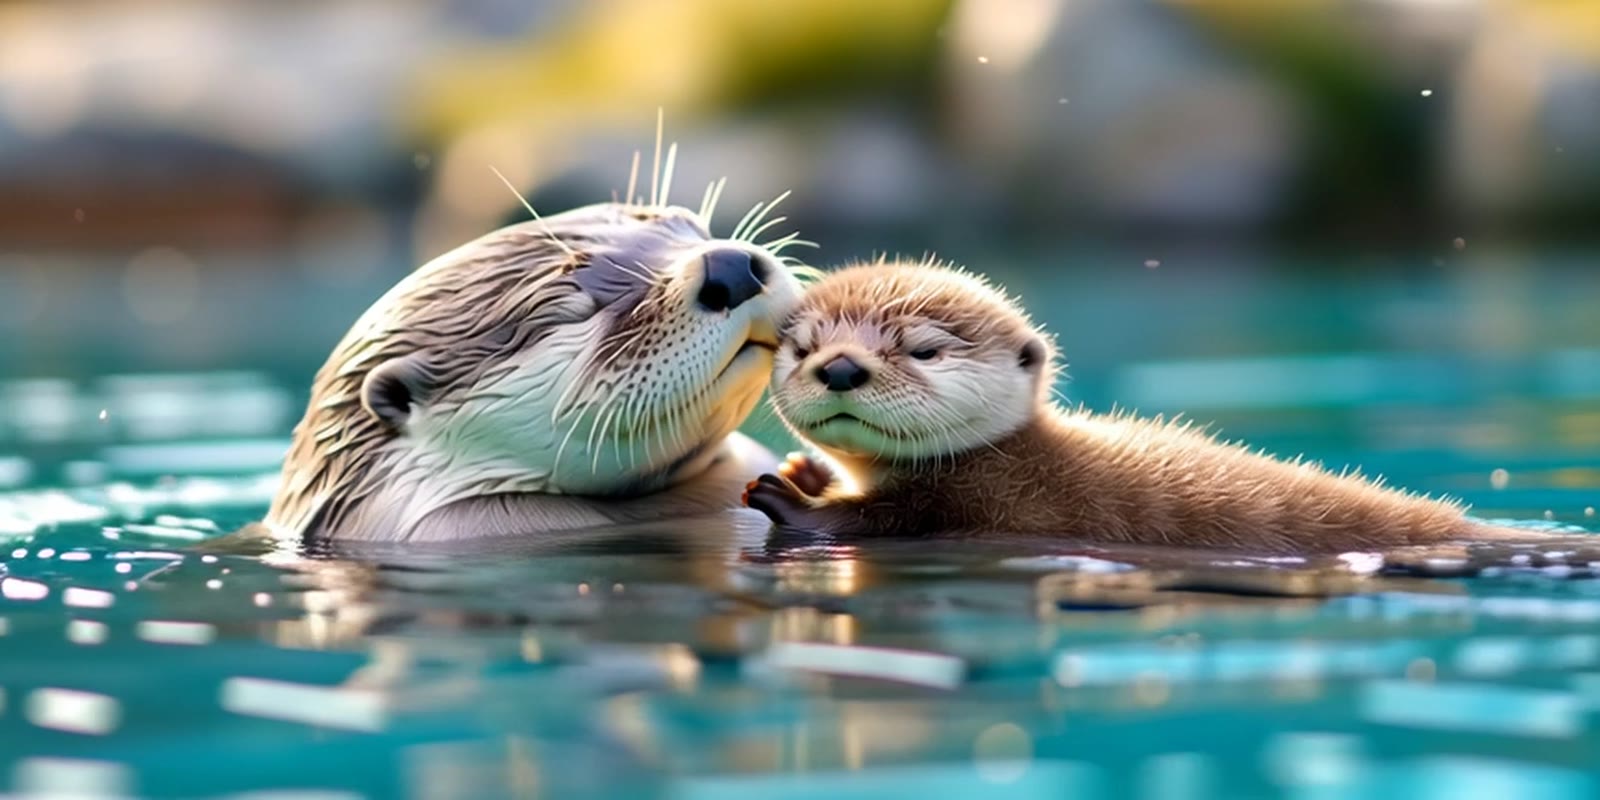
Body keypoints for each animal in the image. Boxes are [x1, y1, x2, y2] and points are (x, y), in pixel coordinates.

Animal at [743, 260, 1536, 554]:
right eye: (804, 345)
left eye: (924, 351)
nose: (841, 366)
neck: (1002, 455)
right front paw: (808, 471)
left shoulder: (978, 500)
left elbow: (871, 521)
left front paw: (788, 495)